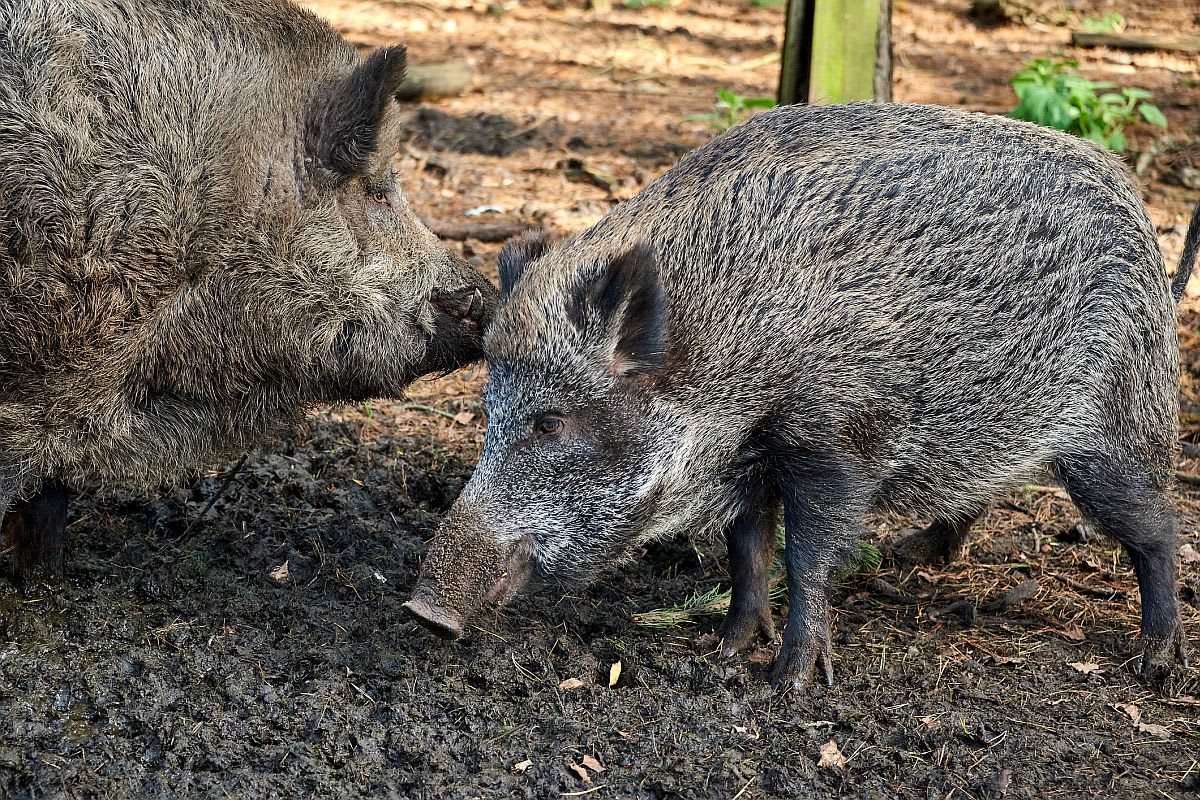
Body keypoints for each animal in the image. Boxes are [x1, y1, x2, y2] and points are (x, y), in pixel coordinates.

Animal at [404, 102, 1197, 690]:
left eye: (552, 421)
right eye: (488, 414)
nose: (423, 611)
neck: (729, 344)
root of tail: (1134, 203)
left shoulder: (833, 443)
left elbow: (807, 554)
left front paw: (789, 682)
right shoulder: (746, 458)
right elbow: (748, 547)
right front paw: (727, 647)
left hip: (1117, 423)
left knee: (1159, 529)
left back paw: (1155, 665)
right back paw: (914, 554)